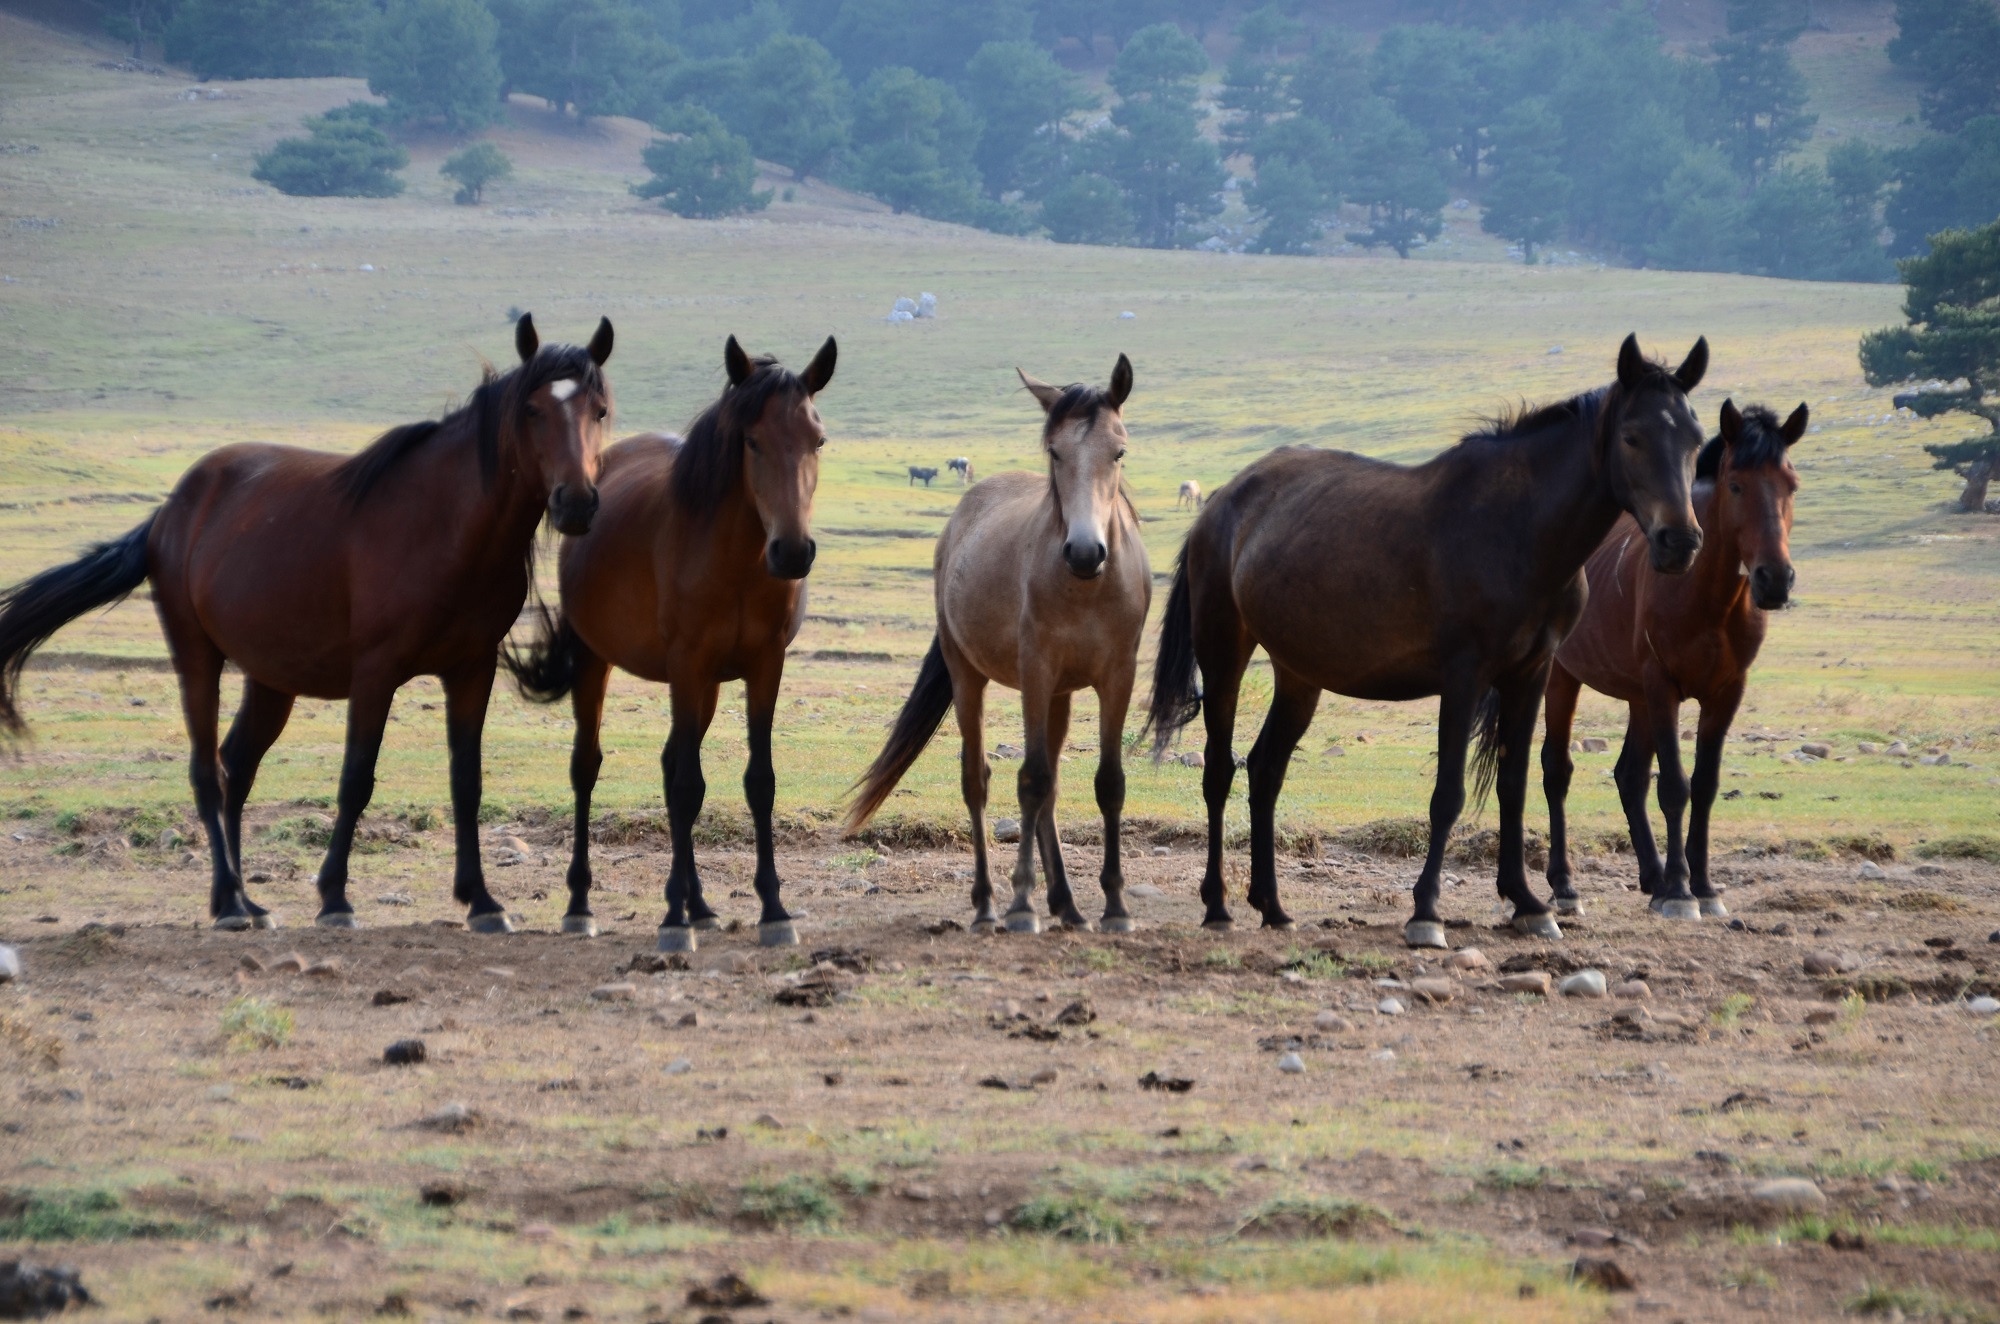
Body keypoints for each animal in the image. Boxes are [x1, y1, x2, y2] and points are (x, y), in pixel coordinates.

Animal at [0, 314, 616, 932]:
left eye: (600, 410)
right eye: (532, 410)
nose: (577, 503)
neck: (447, 526)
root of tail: (170, 512)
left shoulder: (472, 669)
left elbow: (467, 782)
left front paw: (482, 902)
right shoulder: (375, 673)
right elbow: (356, 780)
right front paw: (335, 898)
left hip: (271, 679)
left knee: (237, 767)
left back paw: (247, 902)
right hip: (197, 657)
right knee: (206, 772)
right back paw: (229, 903)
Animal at [512, 334, 840, 956]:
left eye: (818, 439)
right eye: (752, 441)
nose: (792, 551)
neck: (738, 562)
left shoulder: (765, 667)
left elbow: (757, 783)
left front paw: (773, 910)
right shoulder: (686, 666)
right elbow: (689, 786)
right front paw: (671, 923)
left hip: (705, 686)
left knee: (670, 764)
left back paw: (699, 905)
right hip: (599, 662)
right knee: (587, 767)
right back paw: (582, 906)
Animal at [848, 352, 1160, 932]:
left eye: (1120, 450)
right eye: (1055, 451)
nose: (1085, 551)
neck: (1087, 587)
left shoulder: (1117, 677)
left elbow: (1107, 783)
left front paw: (1115, 906)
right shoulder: (1035, 672)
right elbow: (1030, 779)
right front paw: (1021, 904)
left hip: (1060, 694)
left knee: (1051, 790)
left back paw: (1067, 904)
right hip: (968, 674)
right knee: (980, 779)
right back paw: (989, 903)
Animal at [1152, 338, 1712, 948]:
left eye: (1695, 438)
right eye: (1632, 437)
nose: (1680, 542)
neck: (1517, 531)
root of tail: (1221, 504)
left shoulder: (1531, 674)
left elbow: (1513, 786)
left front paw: (1527, 902)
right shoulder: (1463, 677)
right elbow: (1448, 794)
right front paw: (1426, 912)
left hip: (1299, 676)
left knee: (1265, 771)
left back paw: (1272, 905)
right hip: (1223, 654)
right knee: (1218, 772)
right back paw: (1218, 905)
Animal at [1536, 400, 1808, 924]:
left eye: (1792, 484)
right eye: (1736, 484)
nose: (1774, 579)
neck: (1707, 597)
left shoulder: (1725, 693)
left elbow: (1704, 785)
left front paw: (1702, 887)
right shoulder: (1664, 686)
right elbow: (1675, 787)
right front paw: (1681, 893)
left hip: (1637, 698)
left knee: (1629, 776)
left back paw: (1653, 877)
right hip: (1565, 679)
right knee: (1557, 771)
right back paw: (1566, 886)